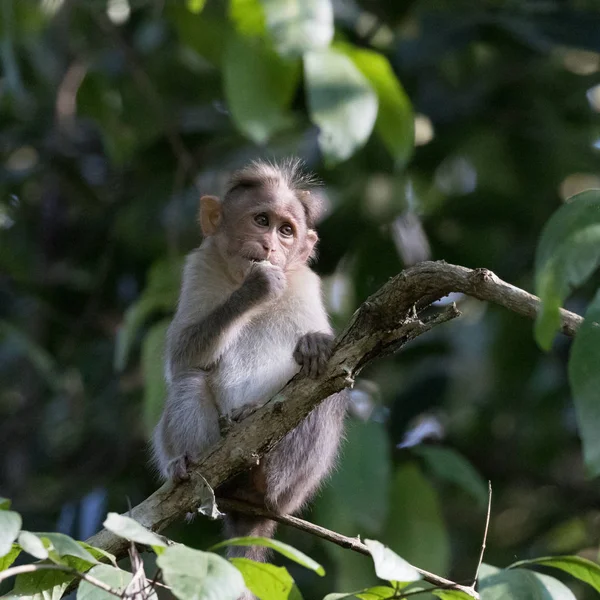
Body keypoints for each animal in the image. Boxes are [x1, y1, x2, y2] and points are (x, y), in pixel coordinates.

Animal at [151, 159, 346, 572]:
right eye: (261, 220)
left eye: (287, 230)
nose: (271, 246)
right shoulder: (199, 266)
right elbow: (182, 356)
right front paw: (254, 289)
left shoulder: (306, 283)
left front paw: (314, 343)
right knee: (190, 381)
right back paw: (191, 468)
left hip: (293, 489)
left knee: (326, 398)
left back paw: (261, 461)